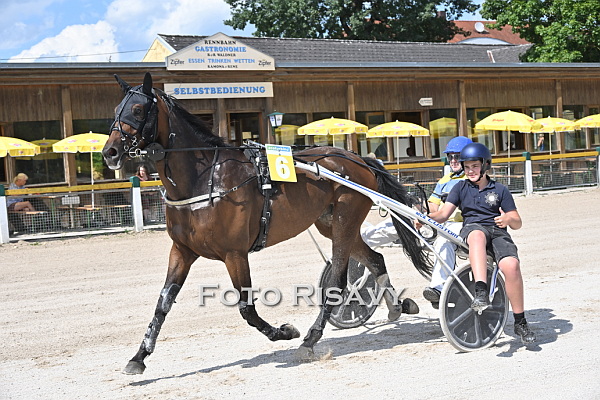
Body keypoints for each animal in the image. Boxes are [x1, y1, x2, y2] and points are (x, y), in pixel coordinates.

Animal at [102, 72, 432, 374]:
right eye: (117, 109)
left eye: (138, 110)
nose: (110, 152)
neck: (204, 180)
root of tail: (358, 159)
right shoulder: (182, 251)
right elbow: (163, 303)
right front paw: (138, 358)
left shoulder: (235, 254)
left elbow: (246, 308)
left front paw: (285, 331)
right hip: (331, 224)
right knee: (374, 259)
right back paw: (396, 307)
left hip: (345, 220)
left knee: (338, 278)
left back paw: (311, 338)